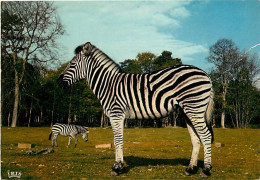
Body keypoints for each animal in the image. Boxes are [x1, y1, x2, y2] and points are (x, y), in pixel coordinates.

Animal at [58, 42, 214, 177]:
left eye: (72, 64)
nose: (58, 82)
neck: (108, 85)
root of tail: (206, 74)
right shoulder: (118, 116)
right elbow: (118, 139)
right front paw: (119, 165)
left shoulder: (116, 114)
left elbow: (117, 140)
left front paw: (117, 167)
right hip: (187, 111)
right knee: (196, 139)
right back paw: (190, 168)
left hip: (194, 107)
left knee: (206, 136)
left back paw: (206, 170)